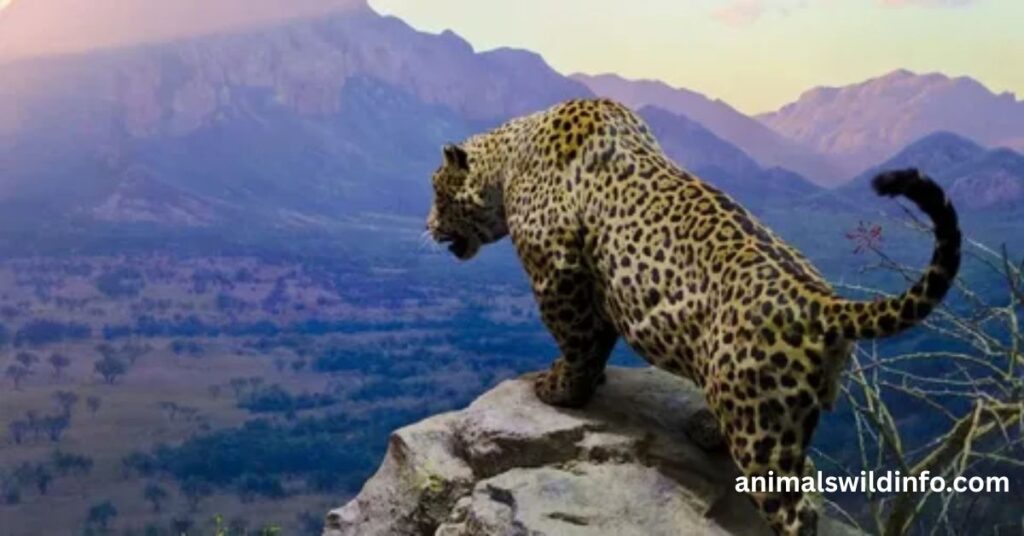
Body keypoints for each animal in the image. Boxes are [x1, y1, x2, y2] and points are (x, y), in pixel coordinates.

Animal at [425, 98, 961, 536]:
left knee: (796, 512)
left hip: (760, 430)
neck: (508, 160)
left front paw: (560, 390)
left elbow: (577, 340)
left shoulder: (558, 271)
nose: (427, 226)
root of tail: (822, 303)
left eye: (438, 193)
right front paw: (588, 383)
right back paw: (705, 428)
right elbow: (595, 342)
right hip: (783, 412)